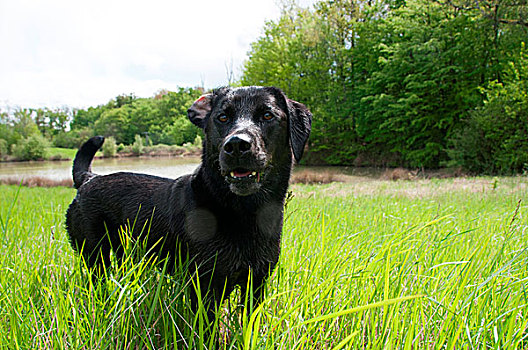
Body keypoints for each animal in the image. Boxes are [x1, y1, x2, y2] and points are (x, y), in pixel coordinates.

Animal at [66, 86, 314, 318]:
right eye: (222, 117)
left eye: (268, 115)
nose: (236, 145)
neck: (244, 212)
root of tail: (88, 179)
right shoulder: (205, 285)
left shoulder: (257, 282)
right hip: (94, 255)